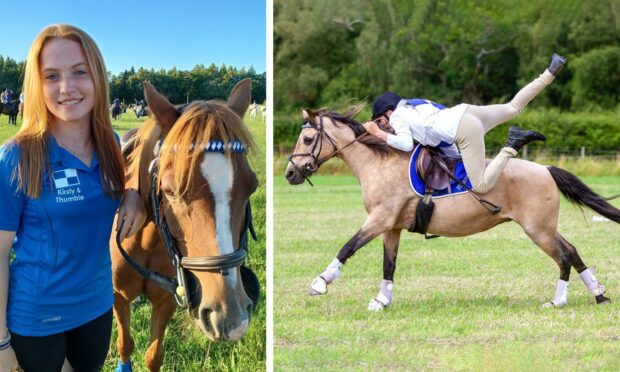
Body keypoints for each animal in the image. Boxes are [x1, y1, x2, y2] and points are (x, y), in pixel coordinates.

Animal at [112, 80, 260, 370]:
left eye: (252, 186)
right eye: (170, 190)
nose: (230, 318)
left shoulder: (167, 300)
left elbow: (153, 356)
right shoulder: (117, 296)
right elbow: (125, 344)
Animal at [286, 107, 620, 310]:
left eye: (308, 138)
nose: (290, 173)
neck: (378, 162)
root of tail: (546, 169)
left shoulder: (379, 220)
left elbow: (348, 247)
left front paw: (320, 283)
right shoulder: (391, 227)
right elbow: (388, 265)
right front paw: (381, 301)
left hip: (538, 229)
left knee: (563, 256)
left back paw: (558, 301)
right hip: (545, 228)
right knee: (572, 250)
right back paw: (599, 294)